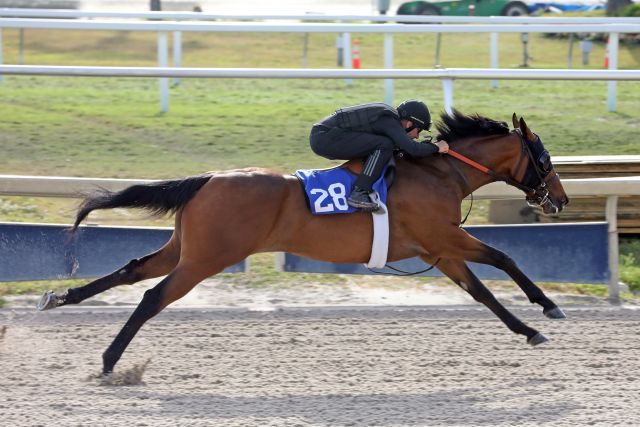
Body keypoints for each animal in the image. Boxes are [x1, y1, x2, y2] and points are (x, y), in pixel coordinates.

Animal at [37, 112, 568, 376]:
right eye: (544, 157)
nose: (560, 199)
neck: (441, 171)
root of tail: (209, 178)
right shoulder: (446, 236)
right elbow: (504, 256)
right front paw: (548, 307)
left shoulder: (437, 250)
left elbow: (482, 292)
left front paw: (528, 329)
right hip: (207, 258)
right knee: (152, 296)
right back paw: (108, 360)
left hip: (184, 248)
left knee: (132, 270)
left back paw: (60, 298)